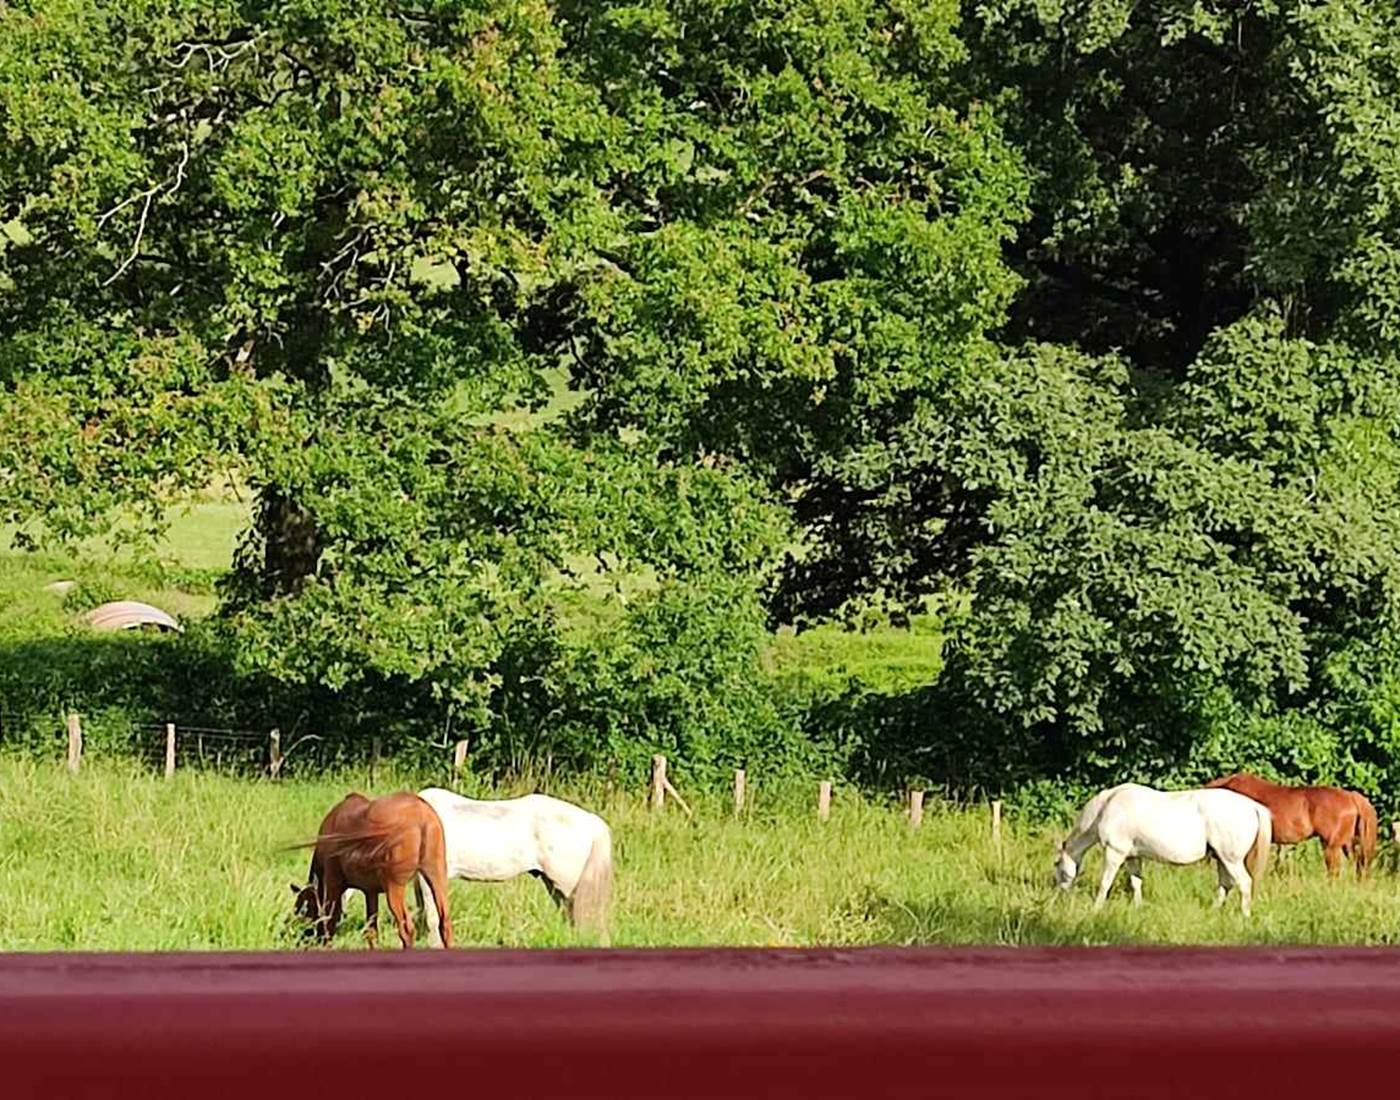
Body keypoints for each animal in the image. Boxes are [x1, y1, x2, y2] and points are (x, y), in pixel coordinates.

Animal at [290, 791, 454, 949]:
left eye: (305, 910)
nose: (306, 937)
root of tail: (423, 816)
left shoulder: (333, 882)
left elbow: (330, 922)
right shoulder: (370, 891)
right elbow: (371, 931)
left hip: (394, 885)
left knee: (406, 928)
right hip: (437, 873)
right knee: (445, 923)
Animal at [1055, 783, 1272, 915]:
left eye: (1057, 865)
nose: (1060, 895)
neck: (1107, 806)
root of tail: (1253, 806)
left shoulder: (1115, 853)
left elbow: (1105, 883)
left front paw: (1096, 909)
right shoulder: (1133, 857)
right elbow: (1136, 882)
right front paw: (1138, 907)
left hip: (1231, 860)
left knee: (1244, 883)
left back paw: (1244, 915)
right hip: (1222, 860)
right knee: (1225, 886)